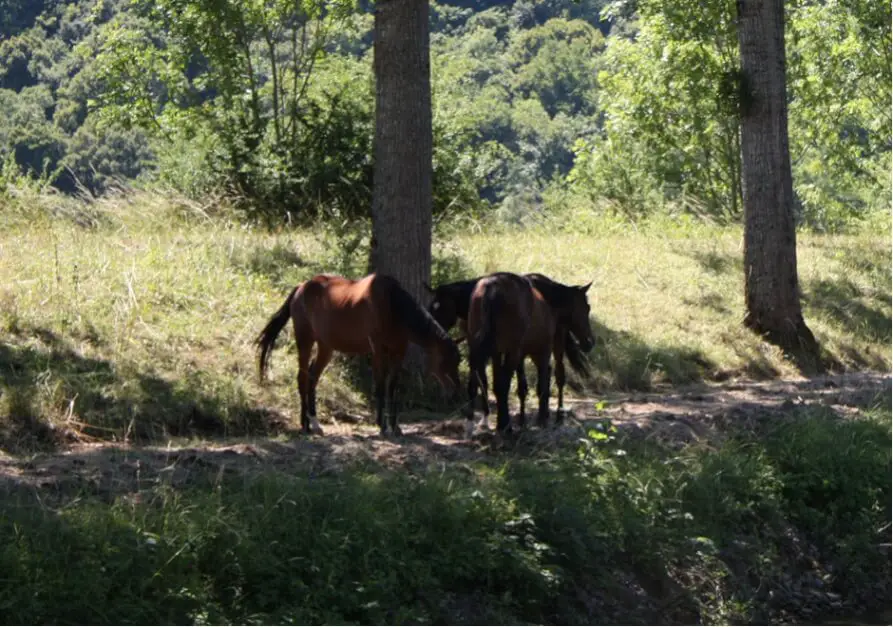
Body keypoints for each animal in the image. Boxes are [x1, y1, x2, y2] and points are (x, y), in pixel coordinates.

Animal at [253, 272, 456, 440]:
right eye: (445, 360)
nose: (456, 391)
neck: (392, 305)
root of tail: (300, 287)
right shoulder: (378, 351)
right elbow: (380, 385)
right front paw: (382, 426)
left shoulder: (399, 352)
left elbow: (392, 387)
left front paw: (395, 426)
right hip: (305, 341)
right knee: (302, 377)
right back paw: (305, 425)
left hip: (326, 347)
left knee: (312, 377)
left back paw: (314, 422)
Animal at [426, 272, 592, 430]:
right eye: (587, 308)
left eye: (439, 308)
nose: (590, 342)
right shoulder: (509, 353)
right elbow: (503, 384)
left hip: (549, 346)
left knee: (558, 375)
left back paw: (554, 416)